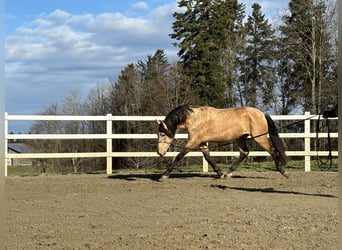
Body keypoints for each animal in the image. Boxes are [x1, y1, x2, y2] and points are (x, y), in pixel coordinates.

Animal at [156, 104, 288, 181]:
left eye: (162, 134)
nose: (159, 153)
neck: (195, 119)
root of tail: (262, 113)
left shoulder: (193, 141)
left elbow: (179, 156)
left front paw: (164, 175)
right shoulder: (202, 142)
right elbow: (208, 158)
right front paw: (219, 173)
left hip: (259, 138)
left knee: (273, 151)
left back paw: (283, 172)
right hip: (241, 138)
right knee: (244, 153)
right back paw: (228, 174)